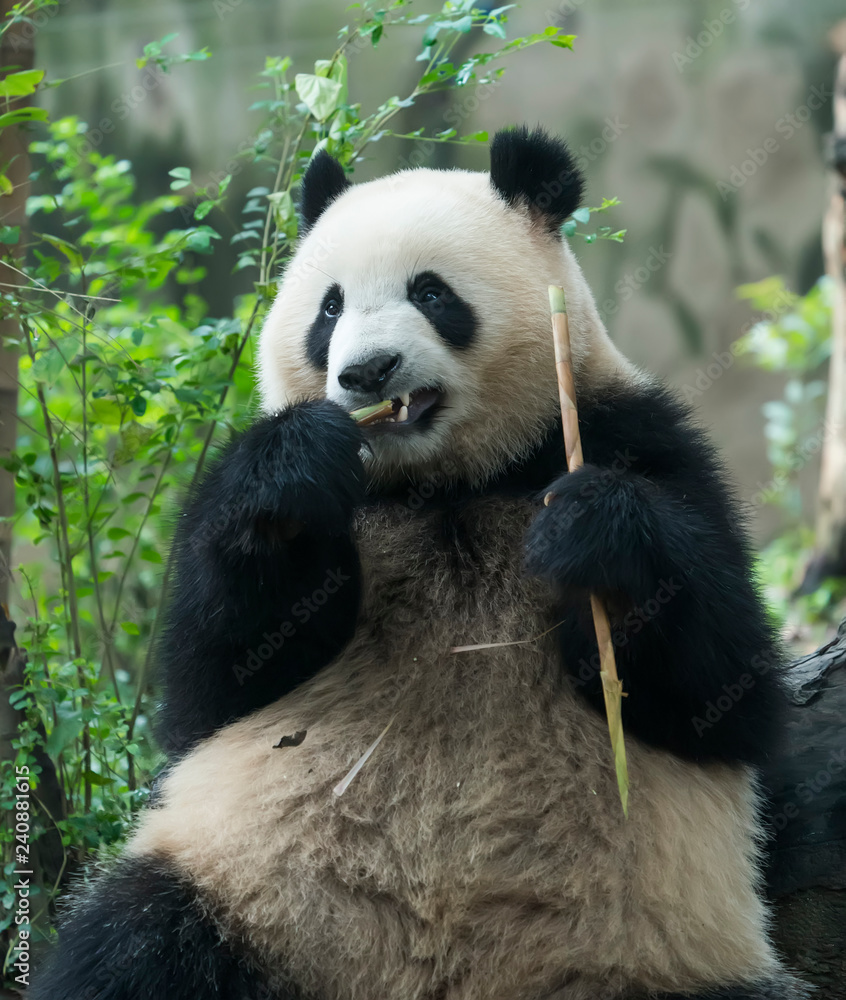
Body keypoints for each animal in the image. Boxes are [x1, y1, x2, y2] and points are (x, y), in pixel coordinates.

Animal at [32, 126, 809, 1000]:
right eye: (329, 306)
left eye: (432, 293)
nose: (367, 372)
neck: (445, 486)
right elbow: (214, 681)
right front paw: (299, 468)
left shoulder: (638, 438)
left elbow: (724, 690)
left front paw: (594, 535)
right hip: (247, 893)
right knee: (133, 942)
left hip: (656, 959)